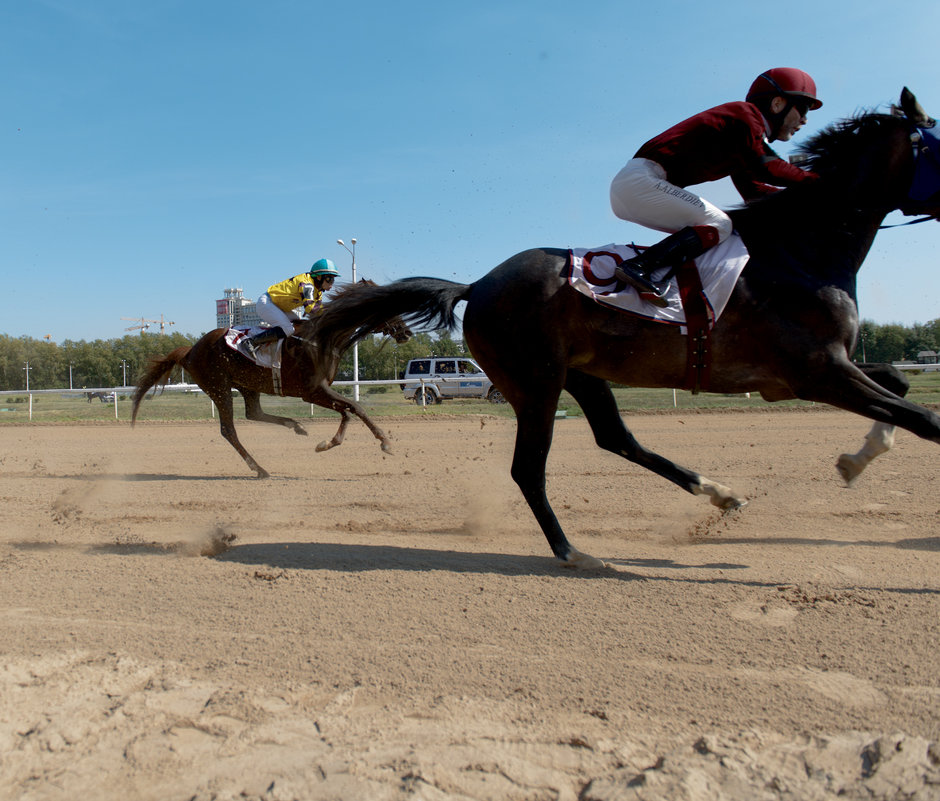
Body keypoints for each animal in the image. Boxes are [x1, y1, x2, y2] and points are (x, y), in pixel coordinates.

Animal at [132, 282, 412, 476]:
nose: (406, 332)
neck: (325, 337)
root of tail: (190, 350)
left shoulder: (320, 391)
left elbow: (349, 411)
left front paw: (330, 442)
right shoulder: (311, 390)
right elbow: (355, 407)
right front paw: (384, 442)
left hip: (246, 384)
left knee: (253, 413)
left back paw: (295, 426)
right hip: (219, 387)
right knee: (229, 430)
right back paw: (259, 468)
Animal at [304, 89, 940, 568]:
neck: (801, 249)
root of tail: (477, 285)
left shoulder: (823, 368)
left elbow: (902, 385)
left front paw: (857, 459)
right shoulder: (812, 371)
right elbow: (924, 417)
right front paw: (861, 458)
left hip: (581, 375)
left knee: (616, 439)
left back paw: (718, 493)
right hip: (535, 383)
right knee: (529, 468)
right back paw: (574, 553)